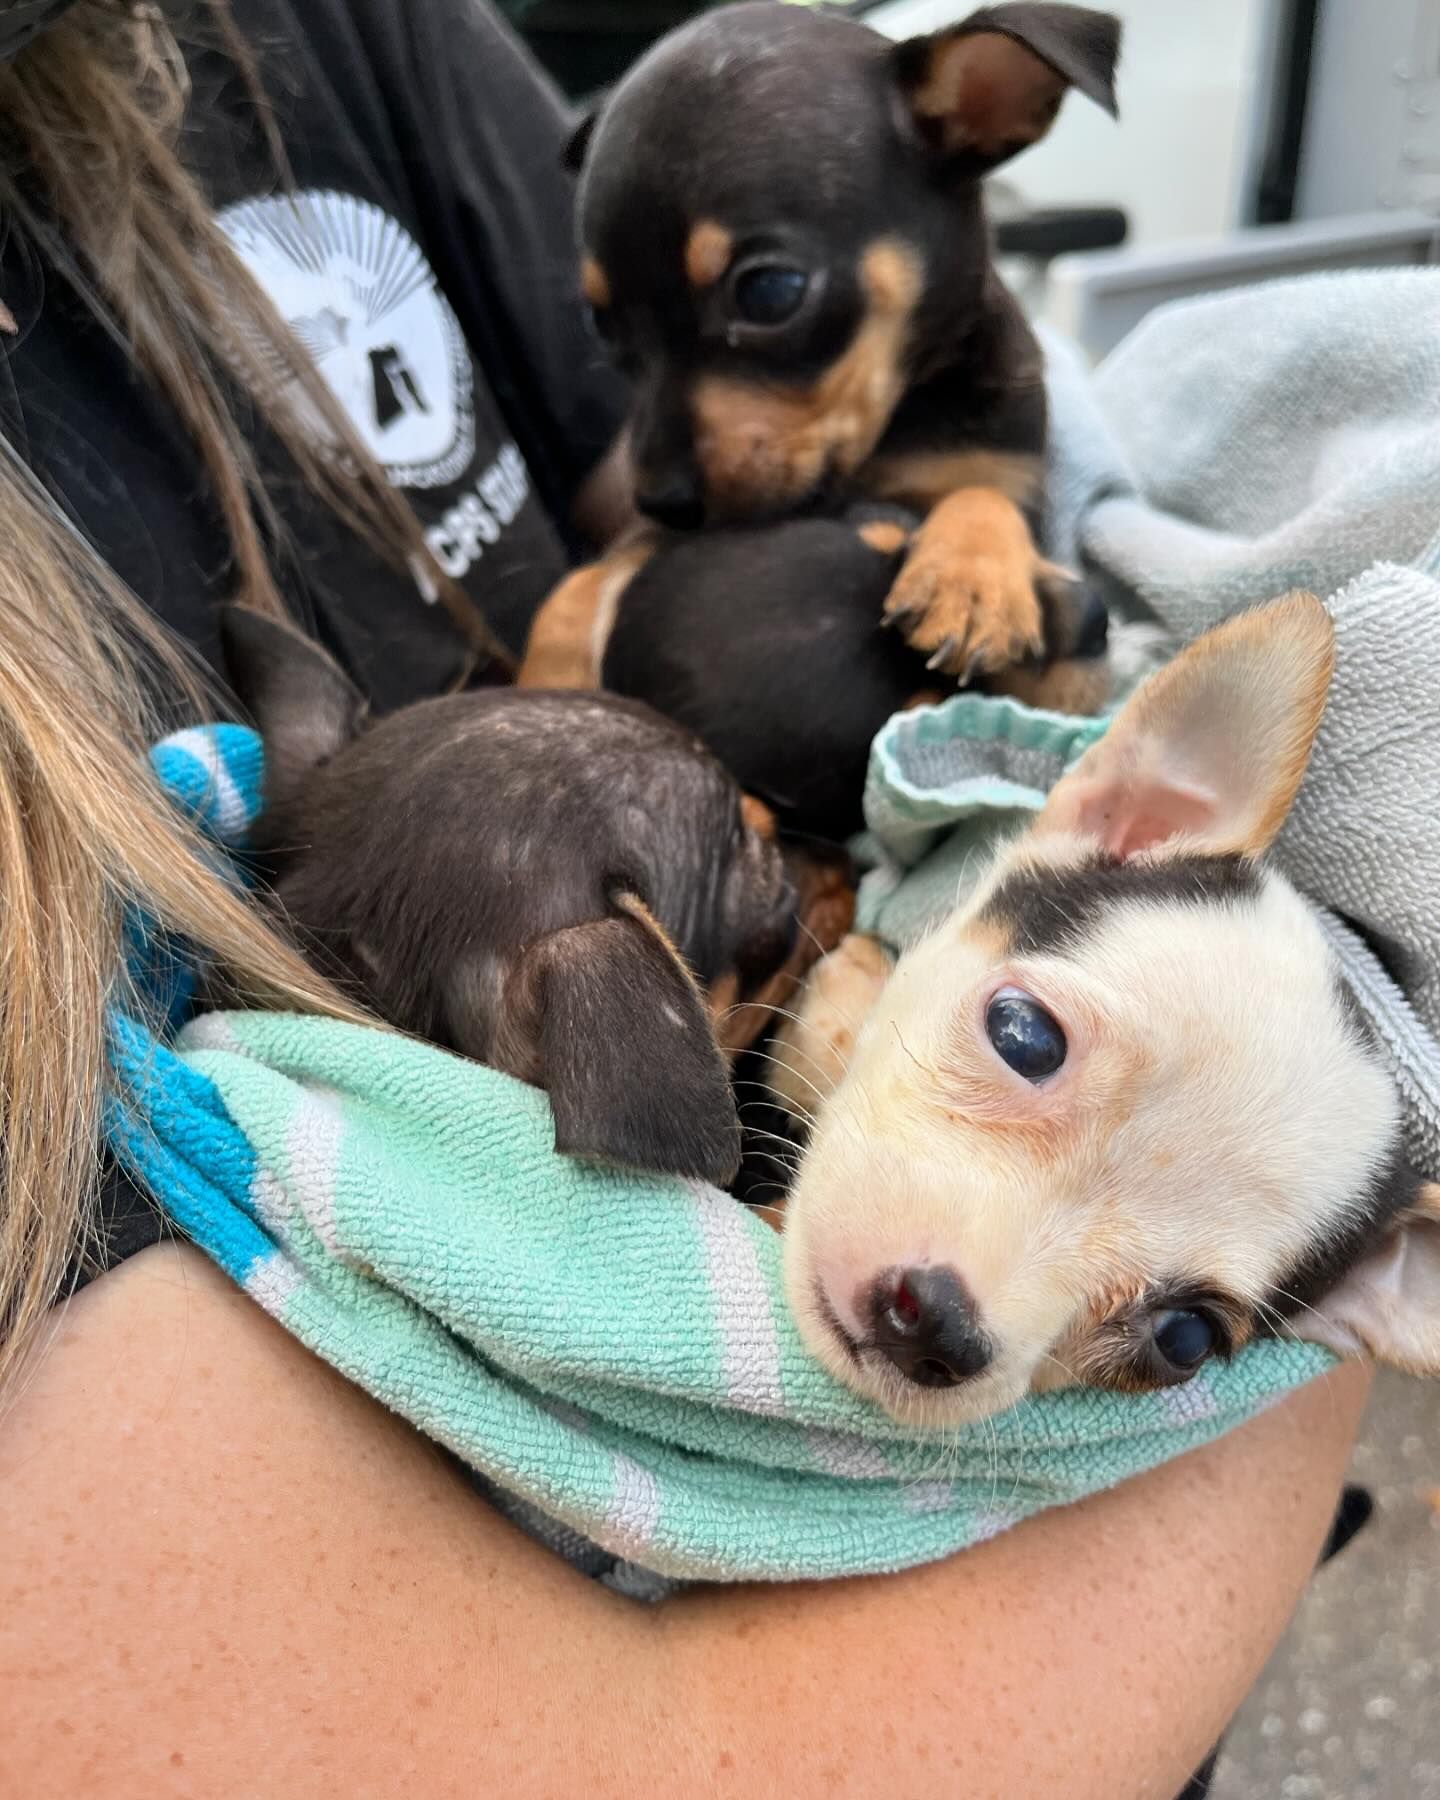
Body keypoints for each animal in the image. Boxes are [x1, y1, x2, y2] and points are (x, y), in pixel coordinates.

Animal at [522, 0, 1116, 698]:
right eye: (601, 322)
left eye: (769, 291)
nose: (665, 501)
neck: (891, 435)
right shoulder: (650, 534)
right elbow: (576, 586)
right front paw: (545, 679)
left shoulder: (1010, 477)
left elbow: (982, 496)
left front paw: (970, 583)